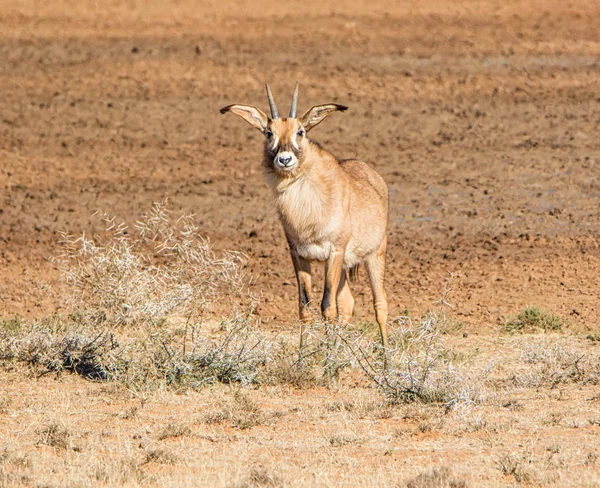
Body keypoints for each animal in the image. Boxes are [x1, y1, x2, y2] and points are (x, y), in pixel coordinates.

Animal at [220, 83, 390, 346]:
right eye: (268, 132)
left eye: (300, 131)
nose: (284, 159)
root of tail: (374, 176)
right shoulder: (299, 255)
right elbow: (305, 306)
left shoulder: (334, 252)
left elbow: (327, 306)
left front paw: (329, 357)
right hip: (344, 266)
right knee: (348, 303)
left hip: (374, 255)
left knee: (380, 305)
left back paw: (385, 355)